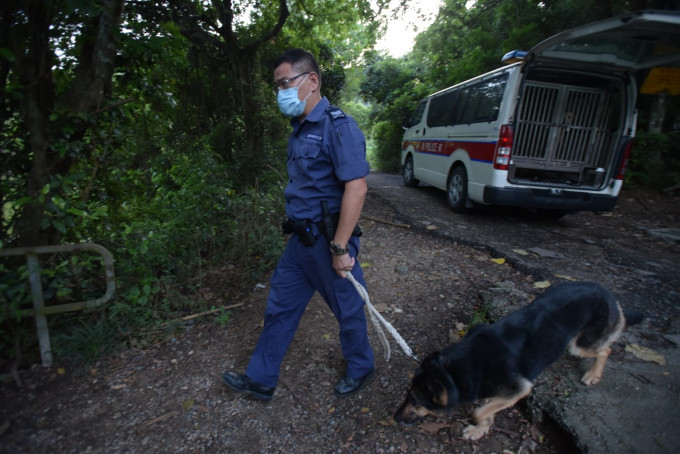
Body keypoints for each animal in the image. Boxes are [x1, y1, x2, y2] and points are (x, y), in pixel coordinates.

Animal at [394, 280, 632, 440]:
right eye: (407, 394)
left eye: (417, 401)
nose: (395, 417)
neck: (452, 371)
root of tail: (604, 289)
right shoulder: (496, 392)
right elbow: (487, 410)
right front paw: (482, 429)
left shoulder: (519, 389)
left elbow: (478, 411)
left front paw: (478, 425)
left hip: (579, 345)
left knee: (606, 350)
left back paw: (593, 374)